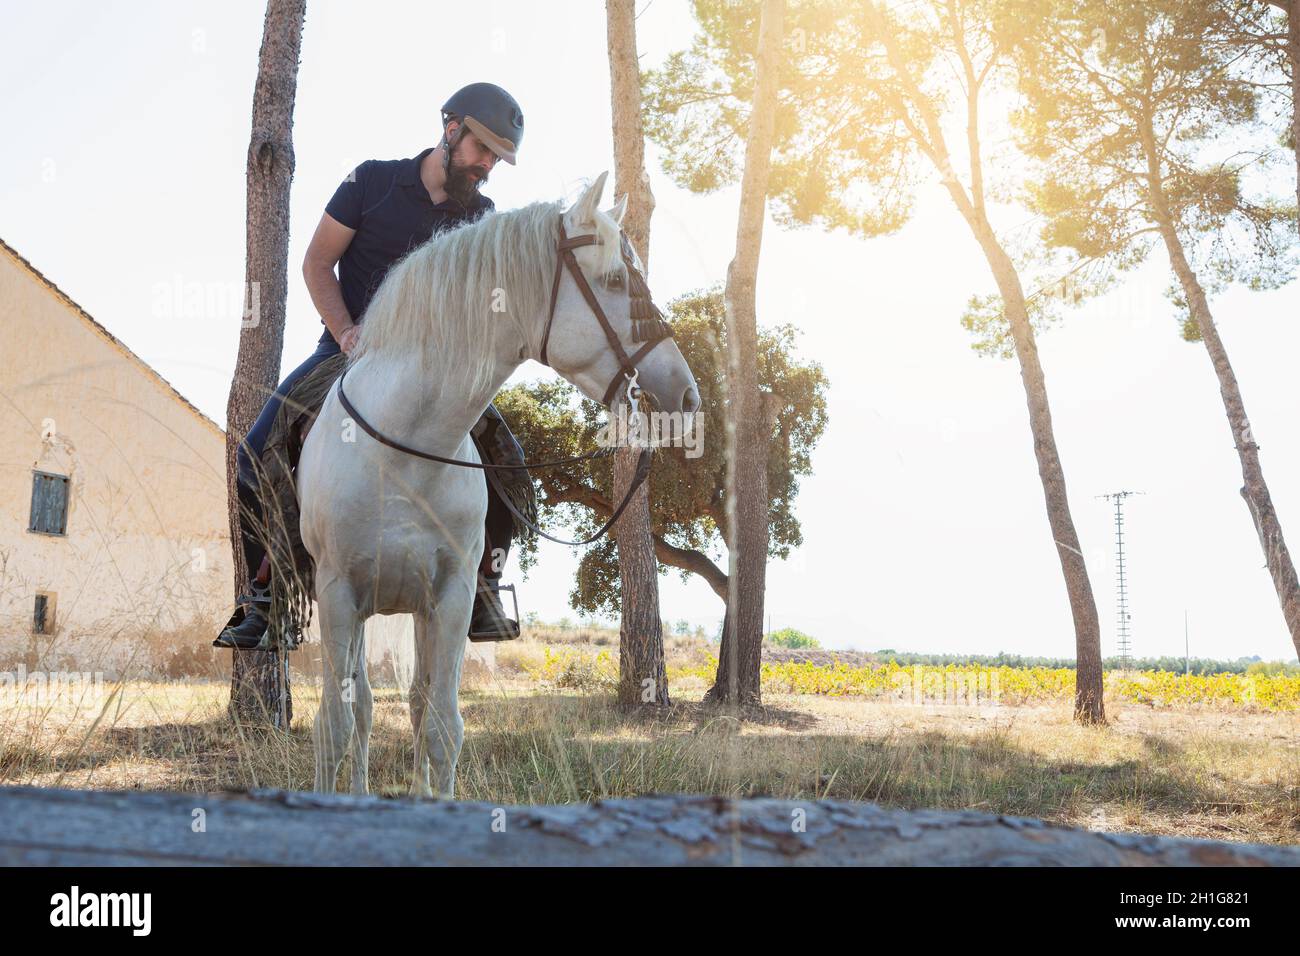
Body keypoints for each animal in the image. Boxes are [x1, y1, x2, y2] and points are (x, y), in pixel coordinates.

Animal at [296, 174, 702, 801]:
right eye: (614, 280)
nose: (686, 397)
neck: (402, 451)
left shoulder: (452, 597)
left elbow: (441, 725)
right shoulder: (338, 596)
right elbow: (334, 726)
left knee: (412, 703)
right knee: (360, 708)